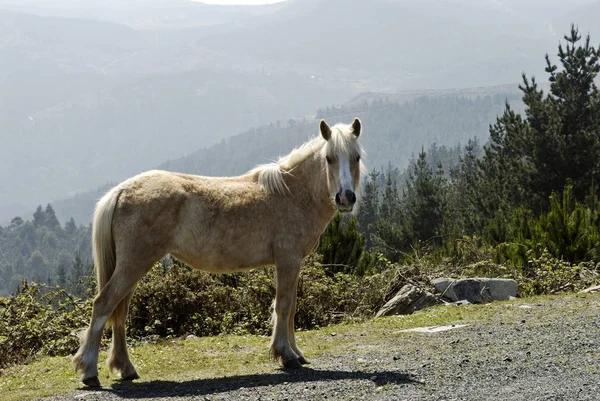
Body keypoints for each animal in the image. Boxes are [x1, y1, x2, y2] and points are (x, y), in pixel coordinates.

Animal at [72, 117, 364, 386]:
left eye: (356, 157)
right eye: (329, 158)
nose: (345, 198)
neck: (292, 194)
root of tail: (120, 191)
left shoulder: (292, 263)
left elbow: (291, 306)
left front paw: (295, 353)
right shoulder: (288, 260)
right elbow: (284, 305)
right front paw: (287, 355)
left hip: (133, 267)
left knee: (119, 312)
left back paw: (126, 369)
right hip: (134, 264)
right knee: (104, 305)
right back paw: (89, 371)